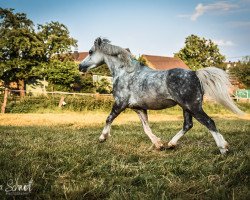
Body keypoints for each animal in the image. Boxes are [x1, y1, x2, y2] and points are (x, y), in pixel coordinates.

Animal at [79, 37, 243, 154]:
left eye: (90, 51)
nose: (80, 66)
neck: (125, 72)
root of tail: (195, 73)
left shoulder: (120, 104)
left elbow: (109, 118)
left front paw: (102, 137)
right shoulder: (139, 108)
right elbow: (146, 128)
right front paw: (158, 145)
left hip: (193, 107)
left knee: (209, 122)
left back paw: (223, 148)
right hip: (186, 107)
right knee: (188, 125)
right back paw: (170, 144)